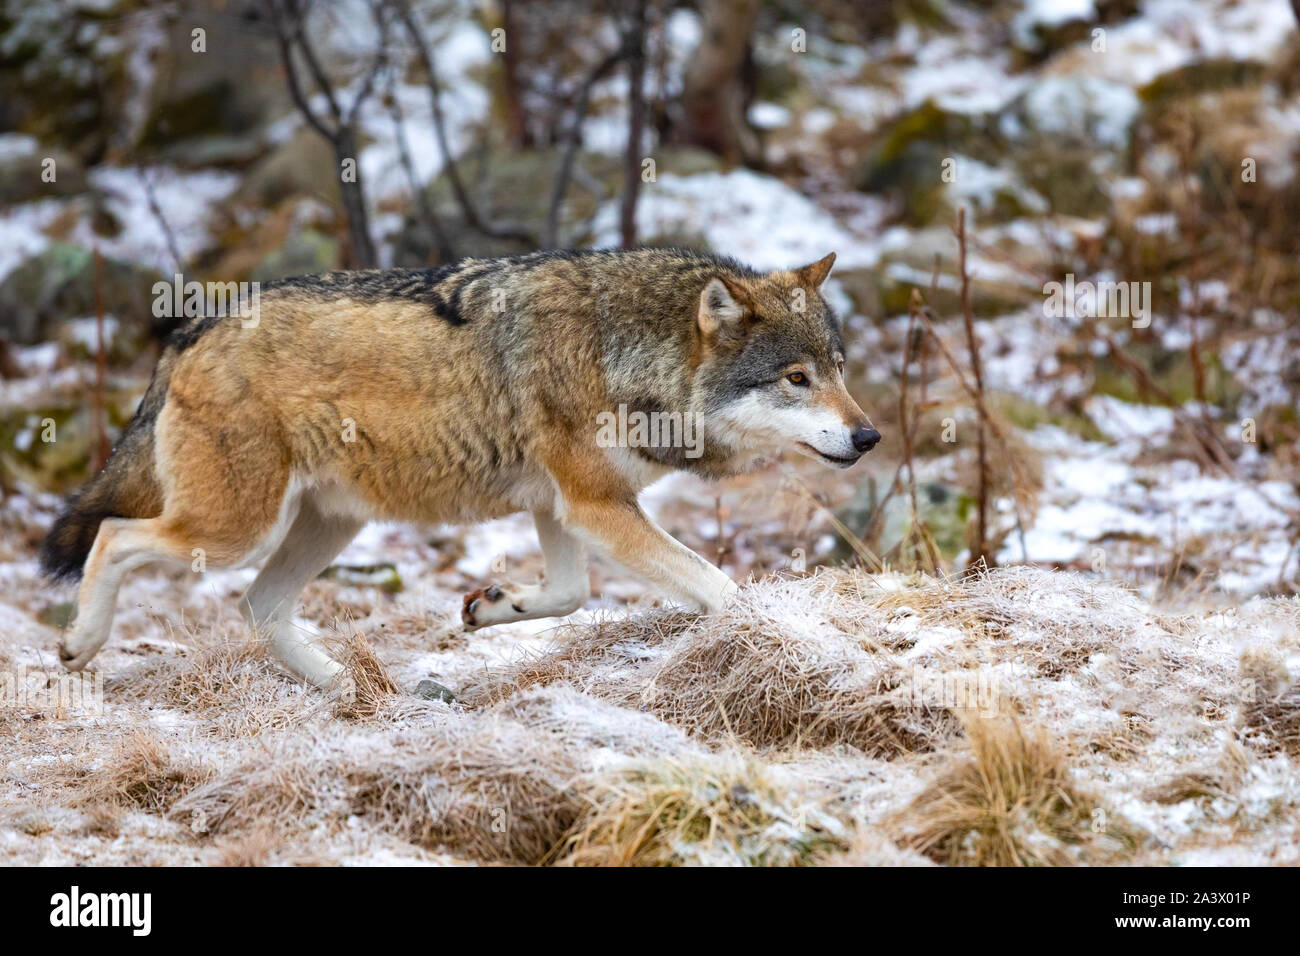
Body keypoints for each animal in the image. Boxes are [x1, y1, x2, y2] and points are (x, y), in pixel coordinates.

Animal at [41, 248, 880, 689]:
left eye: (838, 369)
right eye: (796, 379)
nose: (869, 435)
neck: (626, 352)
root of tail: (192, 325)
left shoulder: (563, 505)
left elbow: (570, 594)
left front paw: (492, 606)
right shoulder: (594, 504)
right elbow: (719, 586)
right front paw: (771, 633)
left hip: (326, 527)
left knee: (257, 606)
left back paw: (350, 690)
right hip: (234, 530)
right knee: (115, 535)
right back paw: (80, 643)